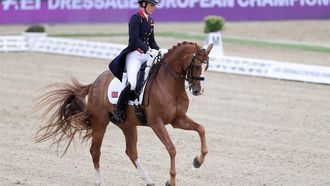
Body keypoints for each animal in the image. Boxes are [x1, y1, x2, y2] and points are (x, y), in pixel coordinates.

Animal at [34, 41, 214, 185]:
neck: (170, 84)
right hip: (100, 122)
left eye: (206, 67)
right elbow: (172, 148)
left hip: (127, 125)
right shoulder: (157, 123)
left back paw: (149, 180)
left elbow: (201, 128)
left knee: (131, 151)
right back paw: (100, 182)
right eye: (197, 66)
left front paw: (198, 161)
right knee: (95, 151)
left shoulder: (178, 120)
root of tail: (95, 83)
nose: (198, 91)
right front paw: (171, 180)